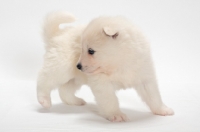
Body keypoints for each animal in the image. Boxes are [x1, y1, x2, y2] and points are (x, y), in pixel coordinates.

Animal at [37, 11, 173, 121]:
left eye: (91, 51)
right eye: (82, 49)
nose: (78, 66)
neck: (120, 63)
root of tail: (57, 35)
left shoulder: (144, 77)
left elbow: (153, 96)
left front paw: (162, 109)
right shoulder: (102, 83)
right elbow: (110, 99)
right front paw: (116, 115)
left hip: (76, 78)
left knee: (64, 90)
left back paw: (75, 101)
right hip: (60, 67)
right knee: (44, 80)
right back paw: (44, 99)